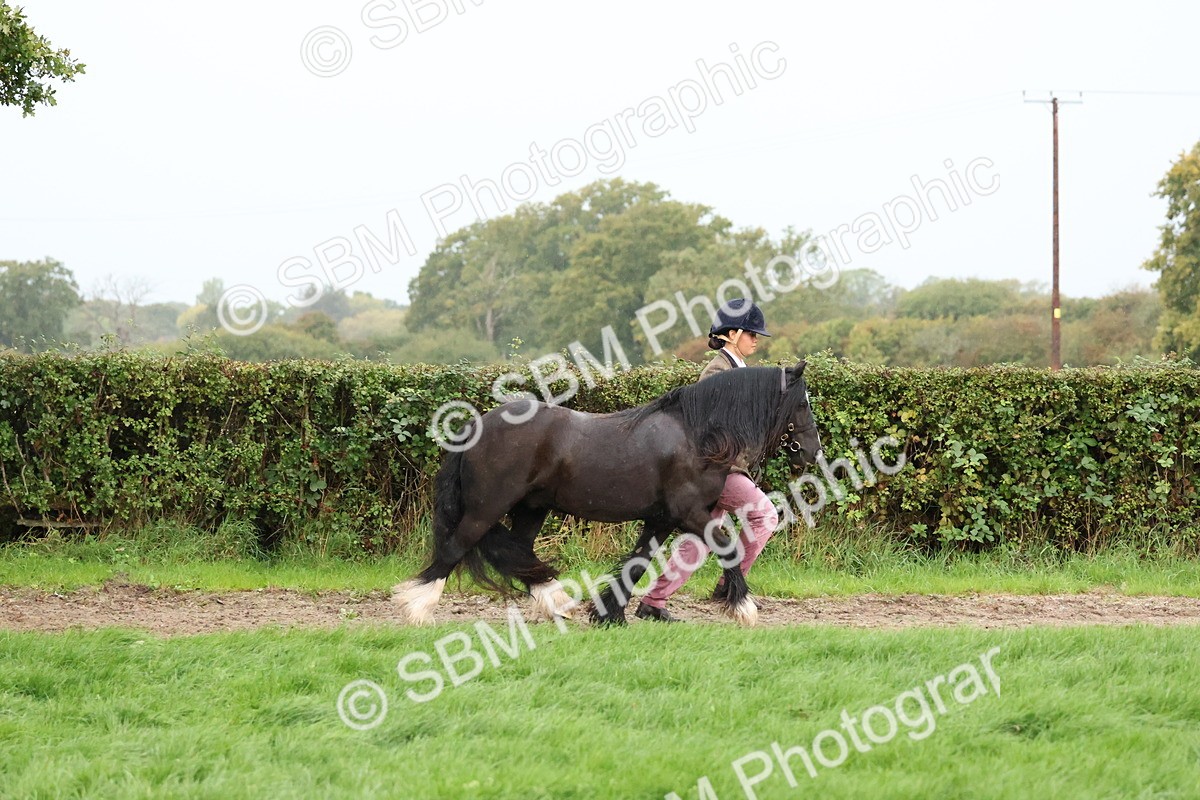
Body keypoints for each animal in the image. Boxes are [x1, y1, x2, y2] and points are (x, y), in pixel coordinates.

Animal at [394, 361, 821, 626]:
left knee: (519, 552)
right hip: (485, 508)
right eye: (802, 403)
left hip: (531, 509)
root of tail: (475, 427)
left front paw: (608, 614)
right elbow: (728, 547)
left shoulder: (661, 519)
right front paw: (744, 608)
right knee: (456, 546)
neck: (696, 435)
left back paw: (557, 603)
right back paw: (417, 608)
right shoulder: (691, 513)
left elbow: (637, 562)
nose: (813, 453)